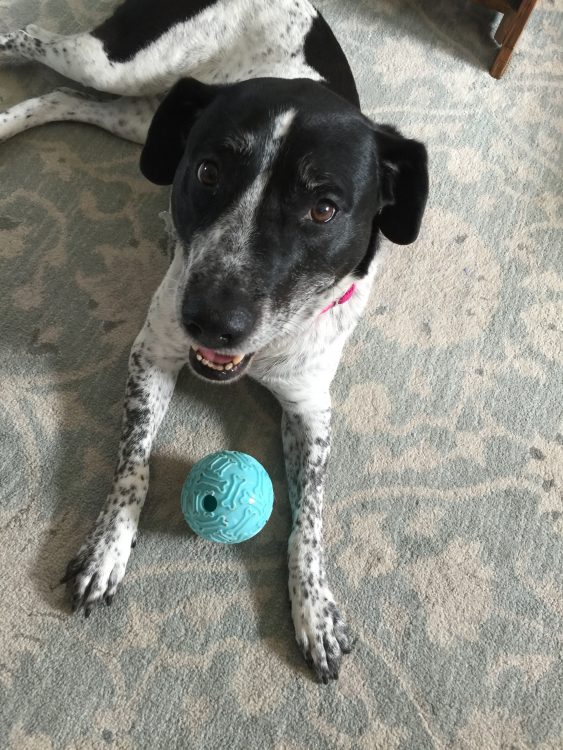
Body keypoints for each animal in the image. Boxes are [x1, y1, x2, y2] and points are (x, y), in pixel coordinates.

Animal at [0, 0, 428, 684]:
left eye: (325, 208)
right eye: (207, 172)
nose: (209, 320)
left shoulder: (311, 410)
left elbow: (309, 518)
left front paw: (316, 609)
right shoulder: (152, 352)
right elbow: (133, 464)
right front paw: (108, 548)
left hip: (141, 117)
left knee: (64, 98)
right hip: (121, 66)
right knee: (33, 38)